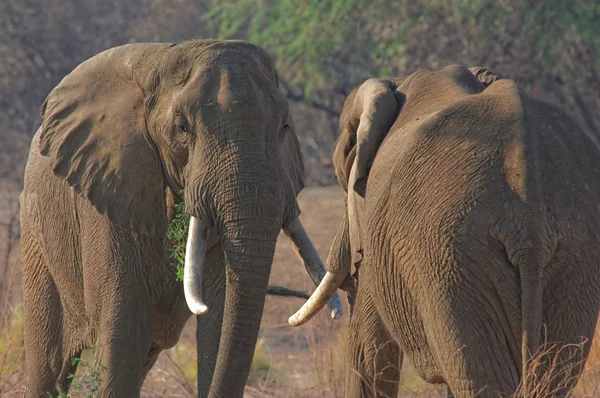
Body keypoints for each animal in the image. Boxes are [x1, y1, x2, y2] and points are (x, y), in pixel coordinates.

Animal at [19, 38, 342, 398]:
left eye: (285, 126)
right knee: (49, 364)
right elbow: (122, 337)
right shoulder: (108, 195)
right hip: (35, 234)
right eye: (182, 129)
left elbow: (218, 326)